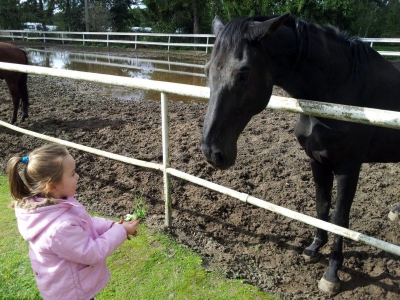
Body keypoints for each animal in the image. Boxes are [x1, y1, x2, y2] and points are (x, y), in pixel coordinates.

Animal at [202, 12, 400, 296]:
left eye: (244, 73)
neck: (340, 89)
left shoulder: (349, 168)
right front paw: (314, 247)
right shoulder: (317, 161)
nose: (212, 152)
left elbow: (339, 218)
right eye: (207, 70)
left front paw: (332, 274)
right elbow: (321, 206)